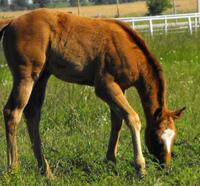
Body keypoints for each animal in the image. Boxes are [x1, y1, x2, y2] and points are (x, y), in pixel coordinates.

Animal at [0, 9, 185, 179]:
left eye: (173, 138)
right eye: (157, 138)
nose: (165, 167)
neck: (127, 48)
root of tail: (12, 22)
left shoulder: (121, 87)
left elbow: (117, 122)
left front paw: (111, 161)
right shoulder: (105, 87)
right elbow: (132, 118)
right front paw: (140, 168)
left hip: (42, 77)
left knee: (32, 115)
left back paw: (46, 171)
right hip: (26, 76)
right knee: (12, 113)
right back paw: (13, 170)